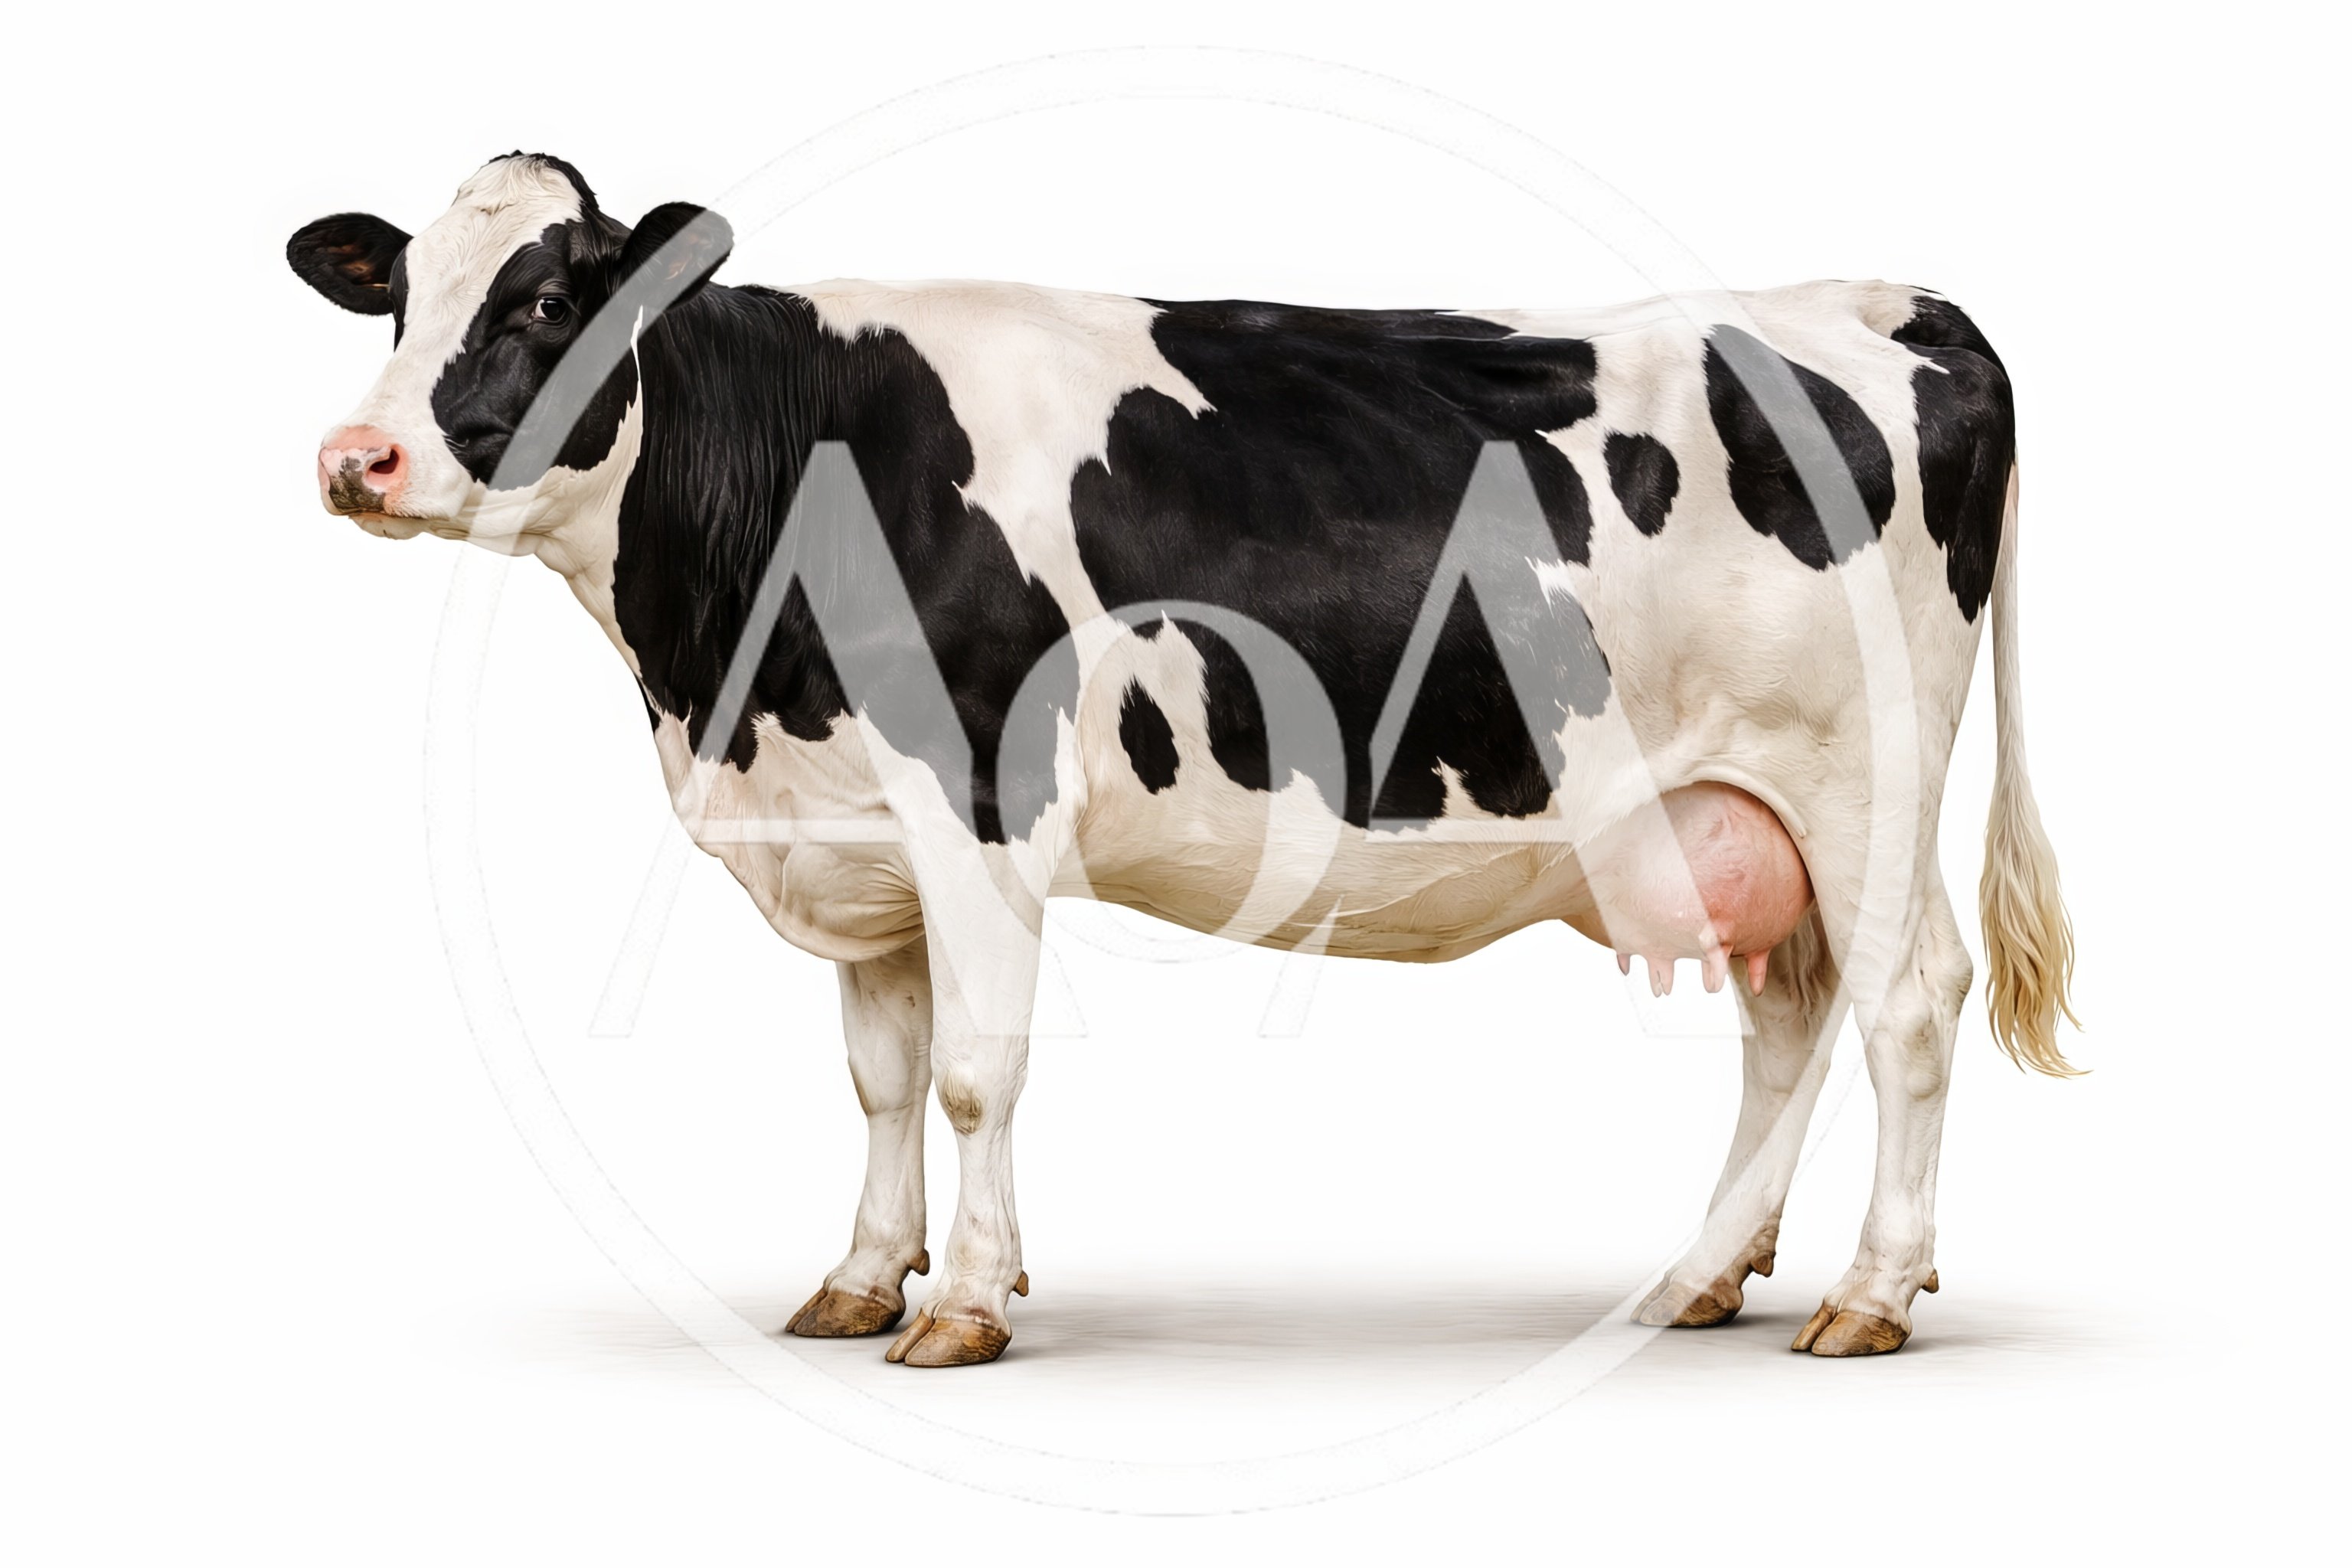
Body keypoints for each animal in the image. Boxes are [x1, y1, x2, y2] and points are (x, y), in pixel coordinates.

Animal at [288, 152, 2079, 1367]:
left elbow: (973, 1072)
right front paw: (862, 1279)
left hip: (1864, 779)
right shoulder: (860, 831)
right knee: (1787, 1020)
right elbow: (879, 1077)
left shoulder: (978, 807)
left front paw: (963, 1307)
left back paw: (1864, 1294)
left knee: (1906, 1006)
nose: (354, 457)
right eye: (399, 295)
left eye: (543, 301)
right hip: (1736, 807)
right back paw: (1702, 1276)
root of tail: (1889, 301)